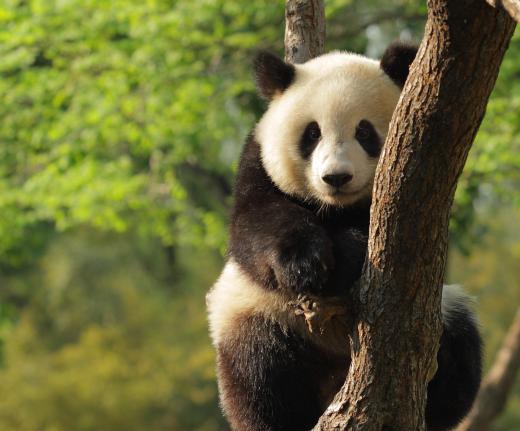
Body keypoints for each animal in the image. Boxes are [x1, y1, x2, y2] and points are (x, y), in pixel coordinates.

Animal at [205, 43, 482, 431]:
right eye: (312, 134)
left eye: (364, 132)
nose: (336, 177)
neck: (336, 208)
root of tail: (335, 377)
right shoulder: (257, 166)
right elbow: (256, 227)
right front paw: (307, 263)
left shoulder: (423, 192)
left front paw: (348, 255)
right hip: (258, 314)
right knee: (259, 373)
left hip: (443, 311)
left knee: (460, 355)